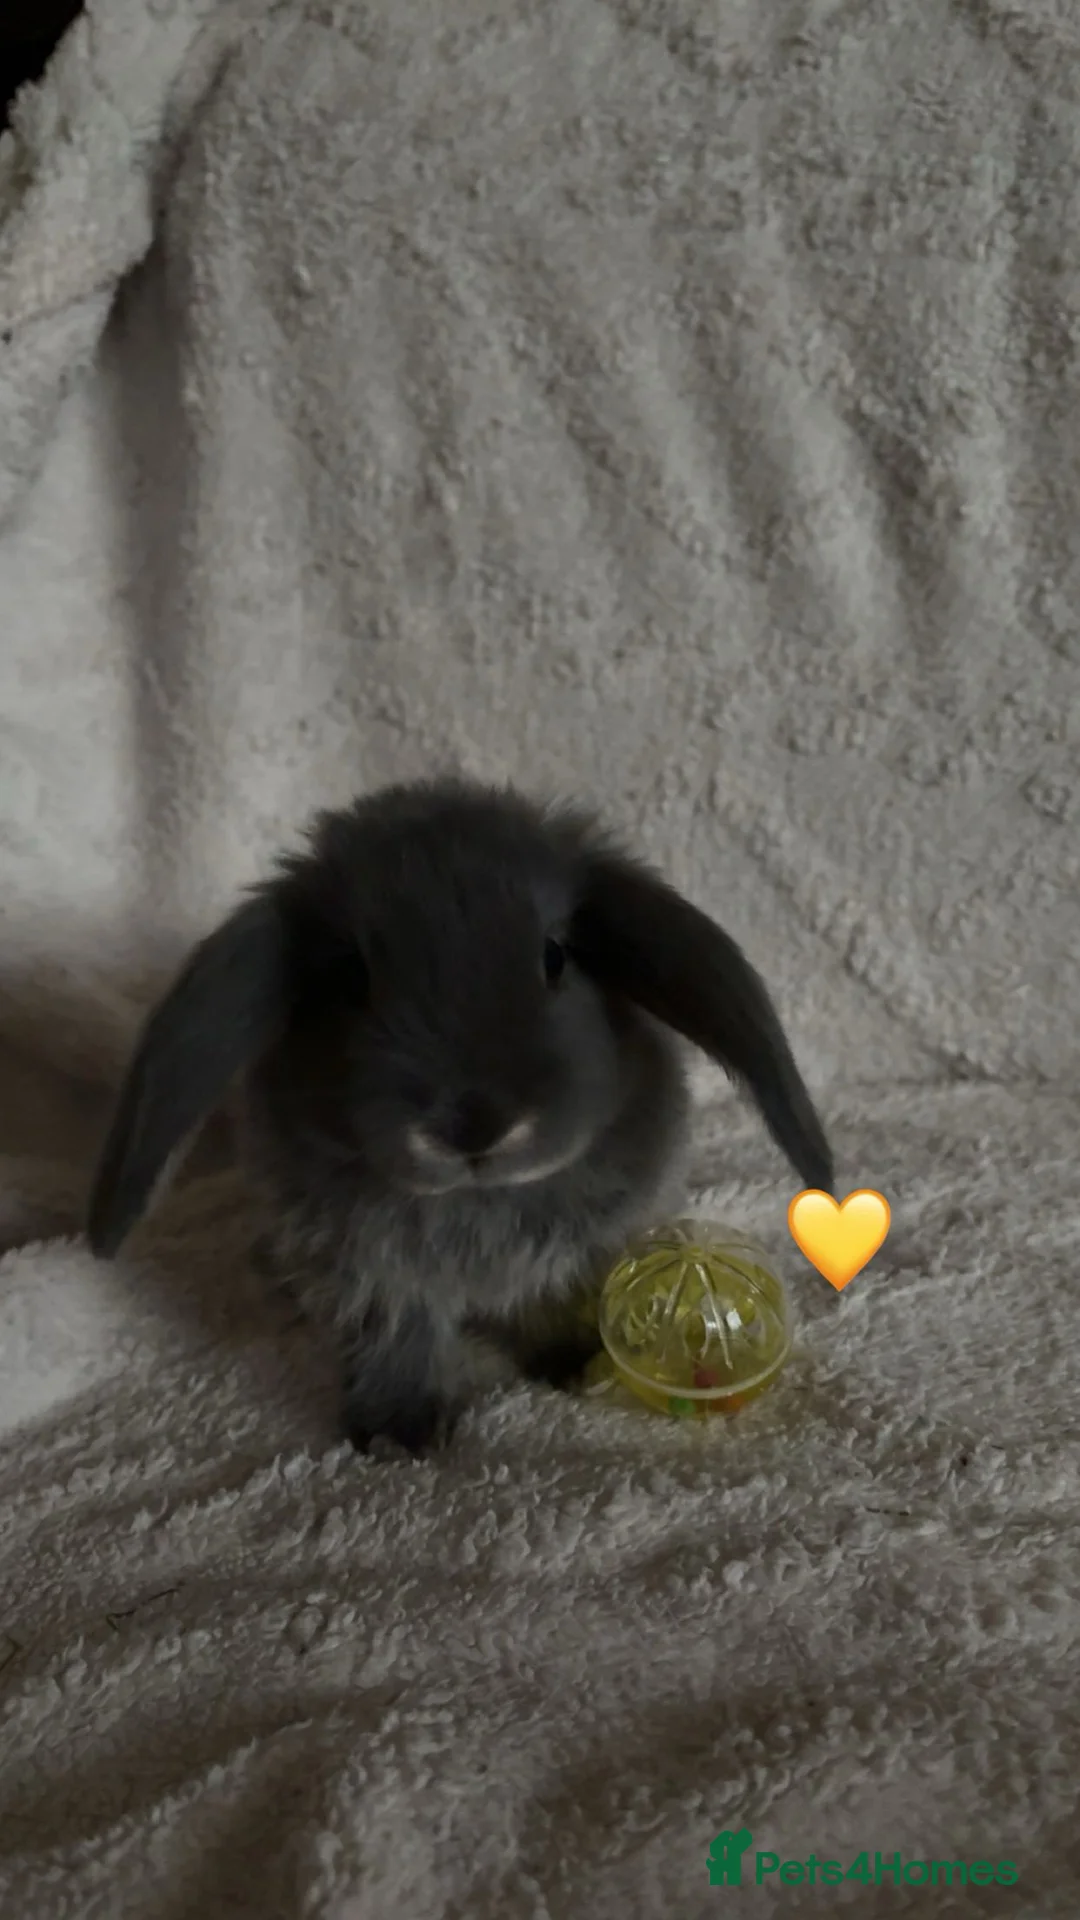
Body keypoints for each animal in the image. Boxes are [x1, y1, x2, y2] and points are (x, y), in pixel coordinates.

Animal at [87, 777, 833, 1454]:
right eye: (352, 977)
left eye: (555, 956)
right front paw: (398, 1432)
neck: (480, 1202)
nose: (473, 1126)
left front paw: (573, 1362)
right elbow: (396, 1340)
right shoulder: (371, 1278)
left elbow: (552, 1304)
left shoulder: (577, 1254)